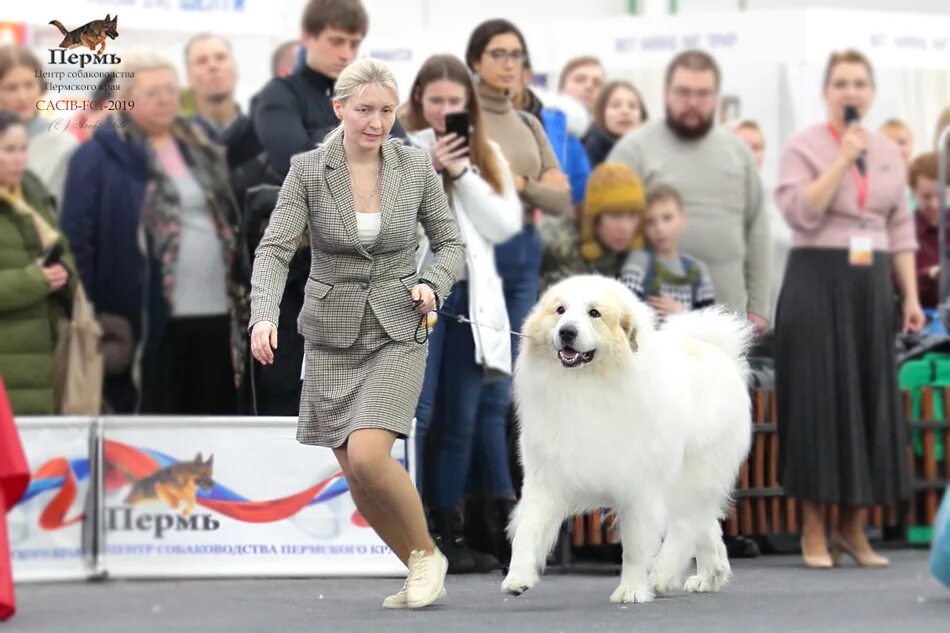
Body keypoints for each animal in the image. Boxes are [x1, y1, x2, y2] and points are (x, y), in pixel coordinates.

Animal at [502, 276, 756, 604]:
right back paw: (708, 576)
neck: (585, 387)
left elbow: (635, 547)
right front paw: (517, 578)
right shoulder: (544, 477)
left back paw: (662, 575)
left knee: (685, 526)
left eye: (594, 313)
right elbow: (527, 529)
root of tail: (716, 350)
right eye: (560, 310)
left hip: (693, 476)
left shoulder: (640, 488)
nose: (566, 331)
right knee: (703, 525)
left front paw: (632, 590)